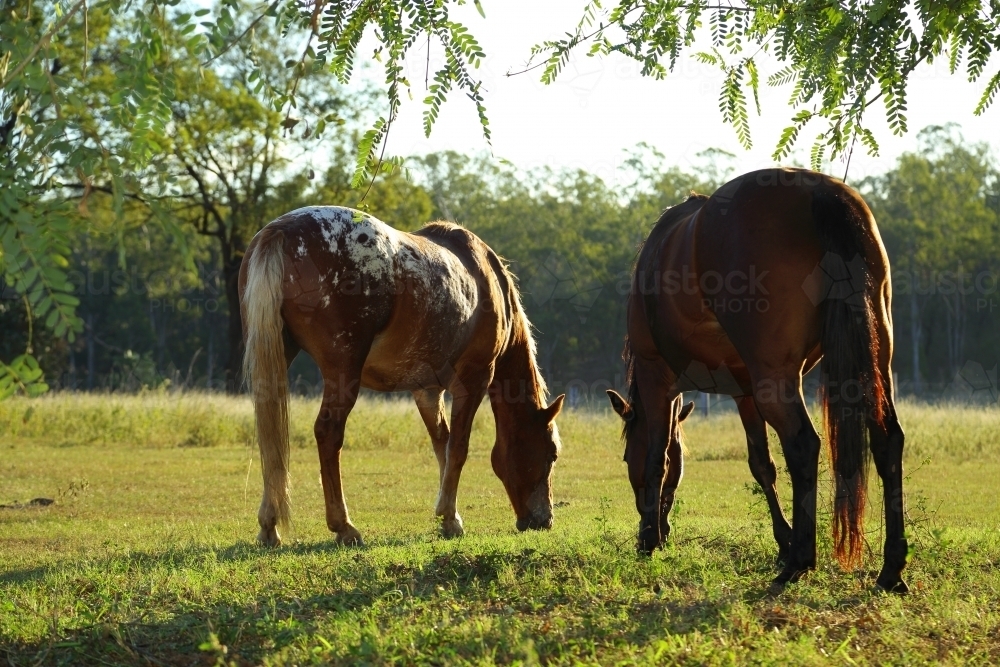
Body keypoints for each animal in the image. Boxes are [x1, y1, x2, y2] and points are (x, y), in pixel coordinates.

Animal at [235, 207, 564, 548]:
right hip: (343, 372)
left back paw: (269, 525)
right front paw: (448, 516)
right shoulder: (473, 381)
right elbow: (459, 448)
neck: (487, 280)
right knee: (328, 433)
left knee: (269, 437)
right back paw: (344, 526)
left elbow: (442, 445)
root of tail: (282, 229)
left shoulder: (427, 391)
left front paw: (450, 517)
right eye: (552, 454)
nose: (544, 521)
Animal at [604, 170, 912, 592]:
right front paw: (782, 540)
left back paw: (800, 562)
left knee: (803, 445)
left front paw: (649, 539)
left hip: (777, 381)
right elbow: (761, 465)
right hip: (873, 365)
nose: (654, 530)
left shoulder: (657, 380)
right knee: (887, 440)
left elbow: (658, 459)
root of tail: (818, 192)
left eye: (623, 457)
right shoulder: (744, 393)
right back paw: (890, 568)